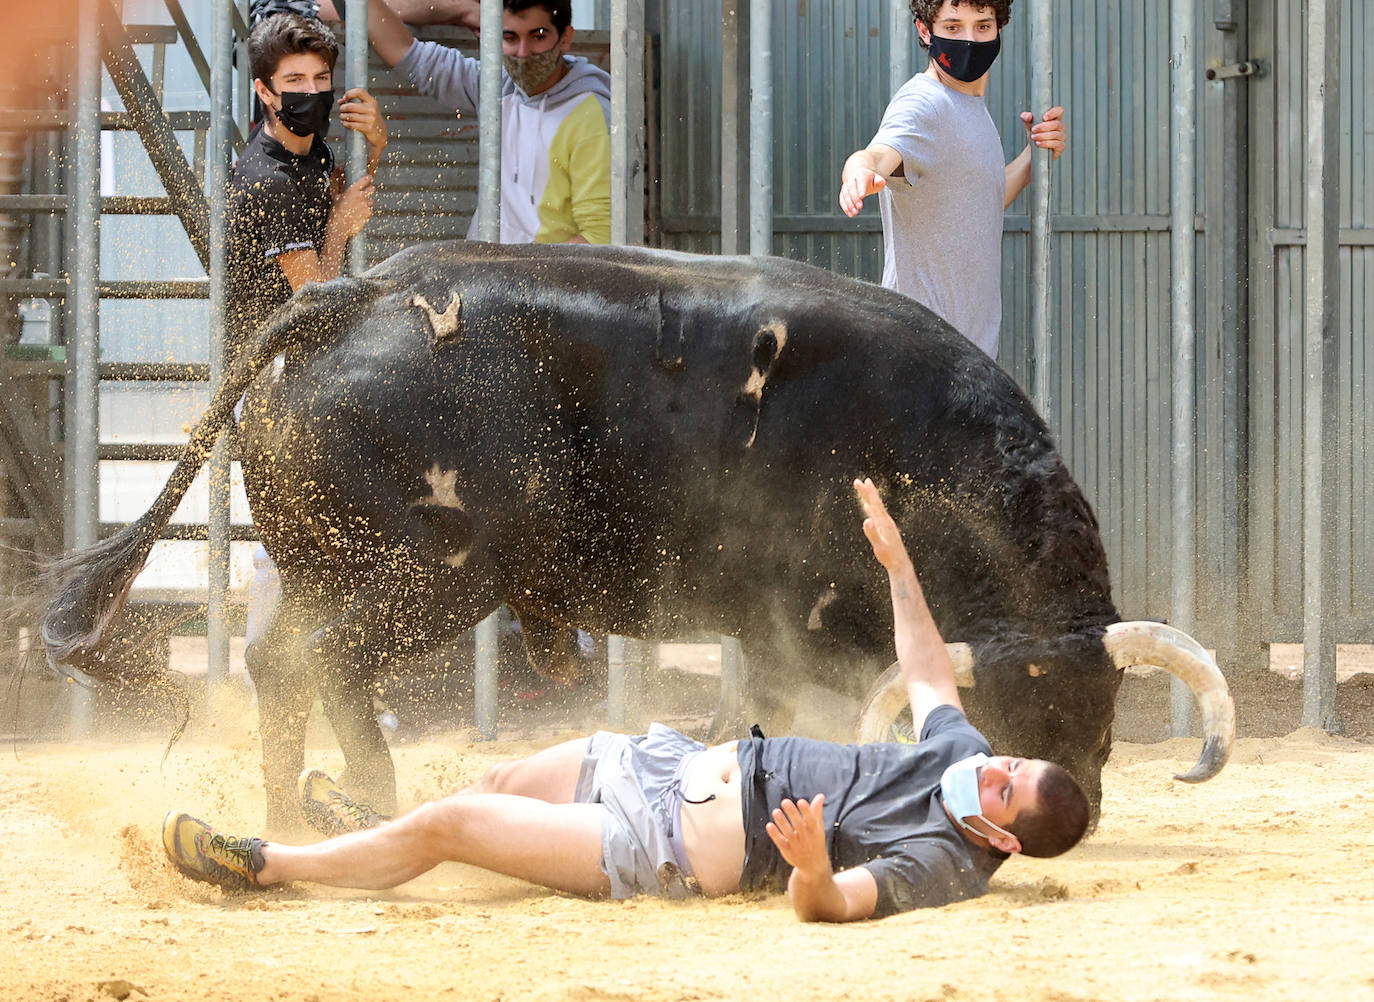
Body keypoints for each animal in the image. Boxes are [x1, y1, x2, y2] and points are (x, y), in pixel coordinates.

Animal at [42, 241, 1231, 830]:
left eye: (1100, 712)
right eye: (1007, 716)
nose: (1071, 801)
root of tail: (357, 294)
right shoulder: (799, 629)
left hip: (329, 567)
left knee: (277, 664)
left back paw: (298, 811)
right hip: (435, 574)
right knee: (321, 664)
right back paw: (360, 803)